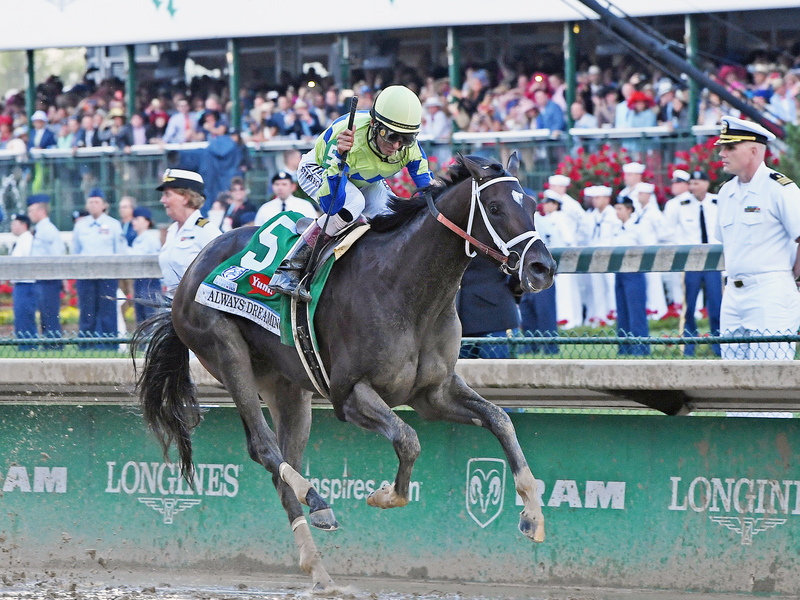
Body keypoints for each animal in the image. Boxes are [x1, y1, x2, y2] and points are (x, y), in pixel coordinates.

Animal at [133, 155, 556, 592]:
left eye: (533, 204)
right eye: (495, 207)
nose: (542, 267)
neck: (406, 286)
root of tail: (190, 271)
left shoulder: (433, 393)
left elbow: (500, 419)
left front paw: (532, 516)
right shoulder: (349, 394)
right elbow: (408, 440)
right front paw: (384, 495)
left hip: (287, 388)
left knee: (282, 466)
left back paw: (319, 565)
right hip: (225, 350)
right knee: (264, 447)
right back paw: (316, 498)